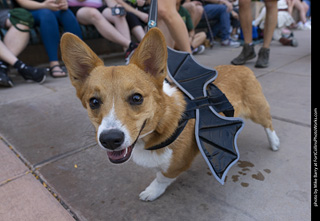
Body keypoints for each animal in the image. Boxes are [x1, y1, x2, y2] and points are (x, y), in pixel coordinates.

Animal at [60, 28, 280, 202]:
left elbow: (162, 177)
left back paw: (274, 142)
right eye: (94, 102)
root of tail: (242, 68)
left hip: (258, 110)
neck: (160, 124)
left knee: (268, 123)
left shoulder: (177, 164)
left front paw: (152, 191)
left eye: (137, 98)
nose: (110, 140)